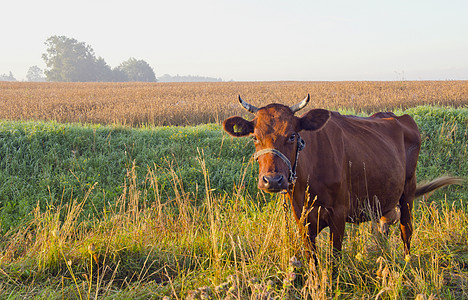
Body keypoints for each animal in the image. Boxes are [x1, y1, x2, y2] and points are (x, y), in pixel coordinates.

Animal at [224, 95, 464, 262]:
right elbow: (312, 260)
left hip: (408, 190)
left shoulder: (338, 214)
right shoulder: (302, 218)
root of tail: (398, 116)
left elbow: (334, 259)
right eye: (255, 138)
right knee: (383, 228)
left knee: (407, 229)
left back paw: (406, 263)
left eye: (292, 136)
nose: (273, 180)